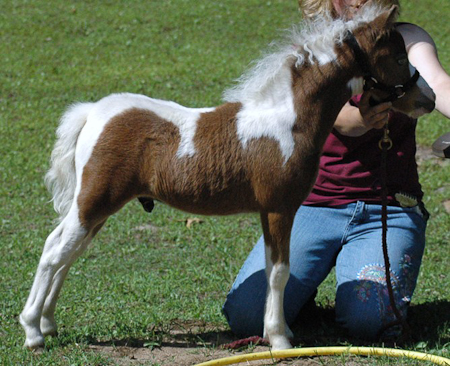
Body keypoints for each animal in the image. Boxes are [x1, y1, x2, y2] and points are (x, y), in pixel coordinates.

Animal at [22, 4, 436, 350]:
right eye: (399, 57)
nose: (429, 99)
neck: (288, 119)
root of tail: (93, 112)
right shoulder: (279, 208)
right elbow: (280, 272)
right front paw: (279, 340)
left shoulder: (270, 212)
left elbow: (271, 269)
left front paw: (281, 331)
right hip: (94, 202)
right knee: (54, 251)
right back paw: (32, 332)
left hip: (96, 207)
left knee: (67, 252)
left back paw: (48, 324)